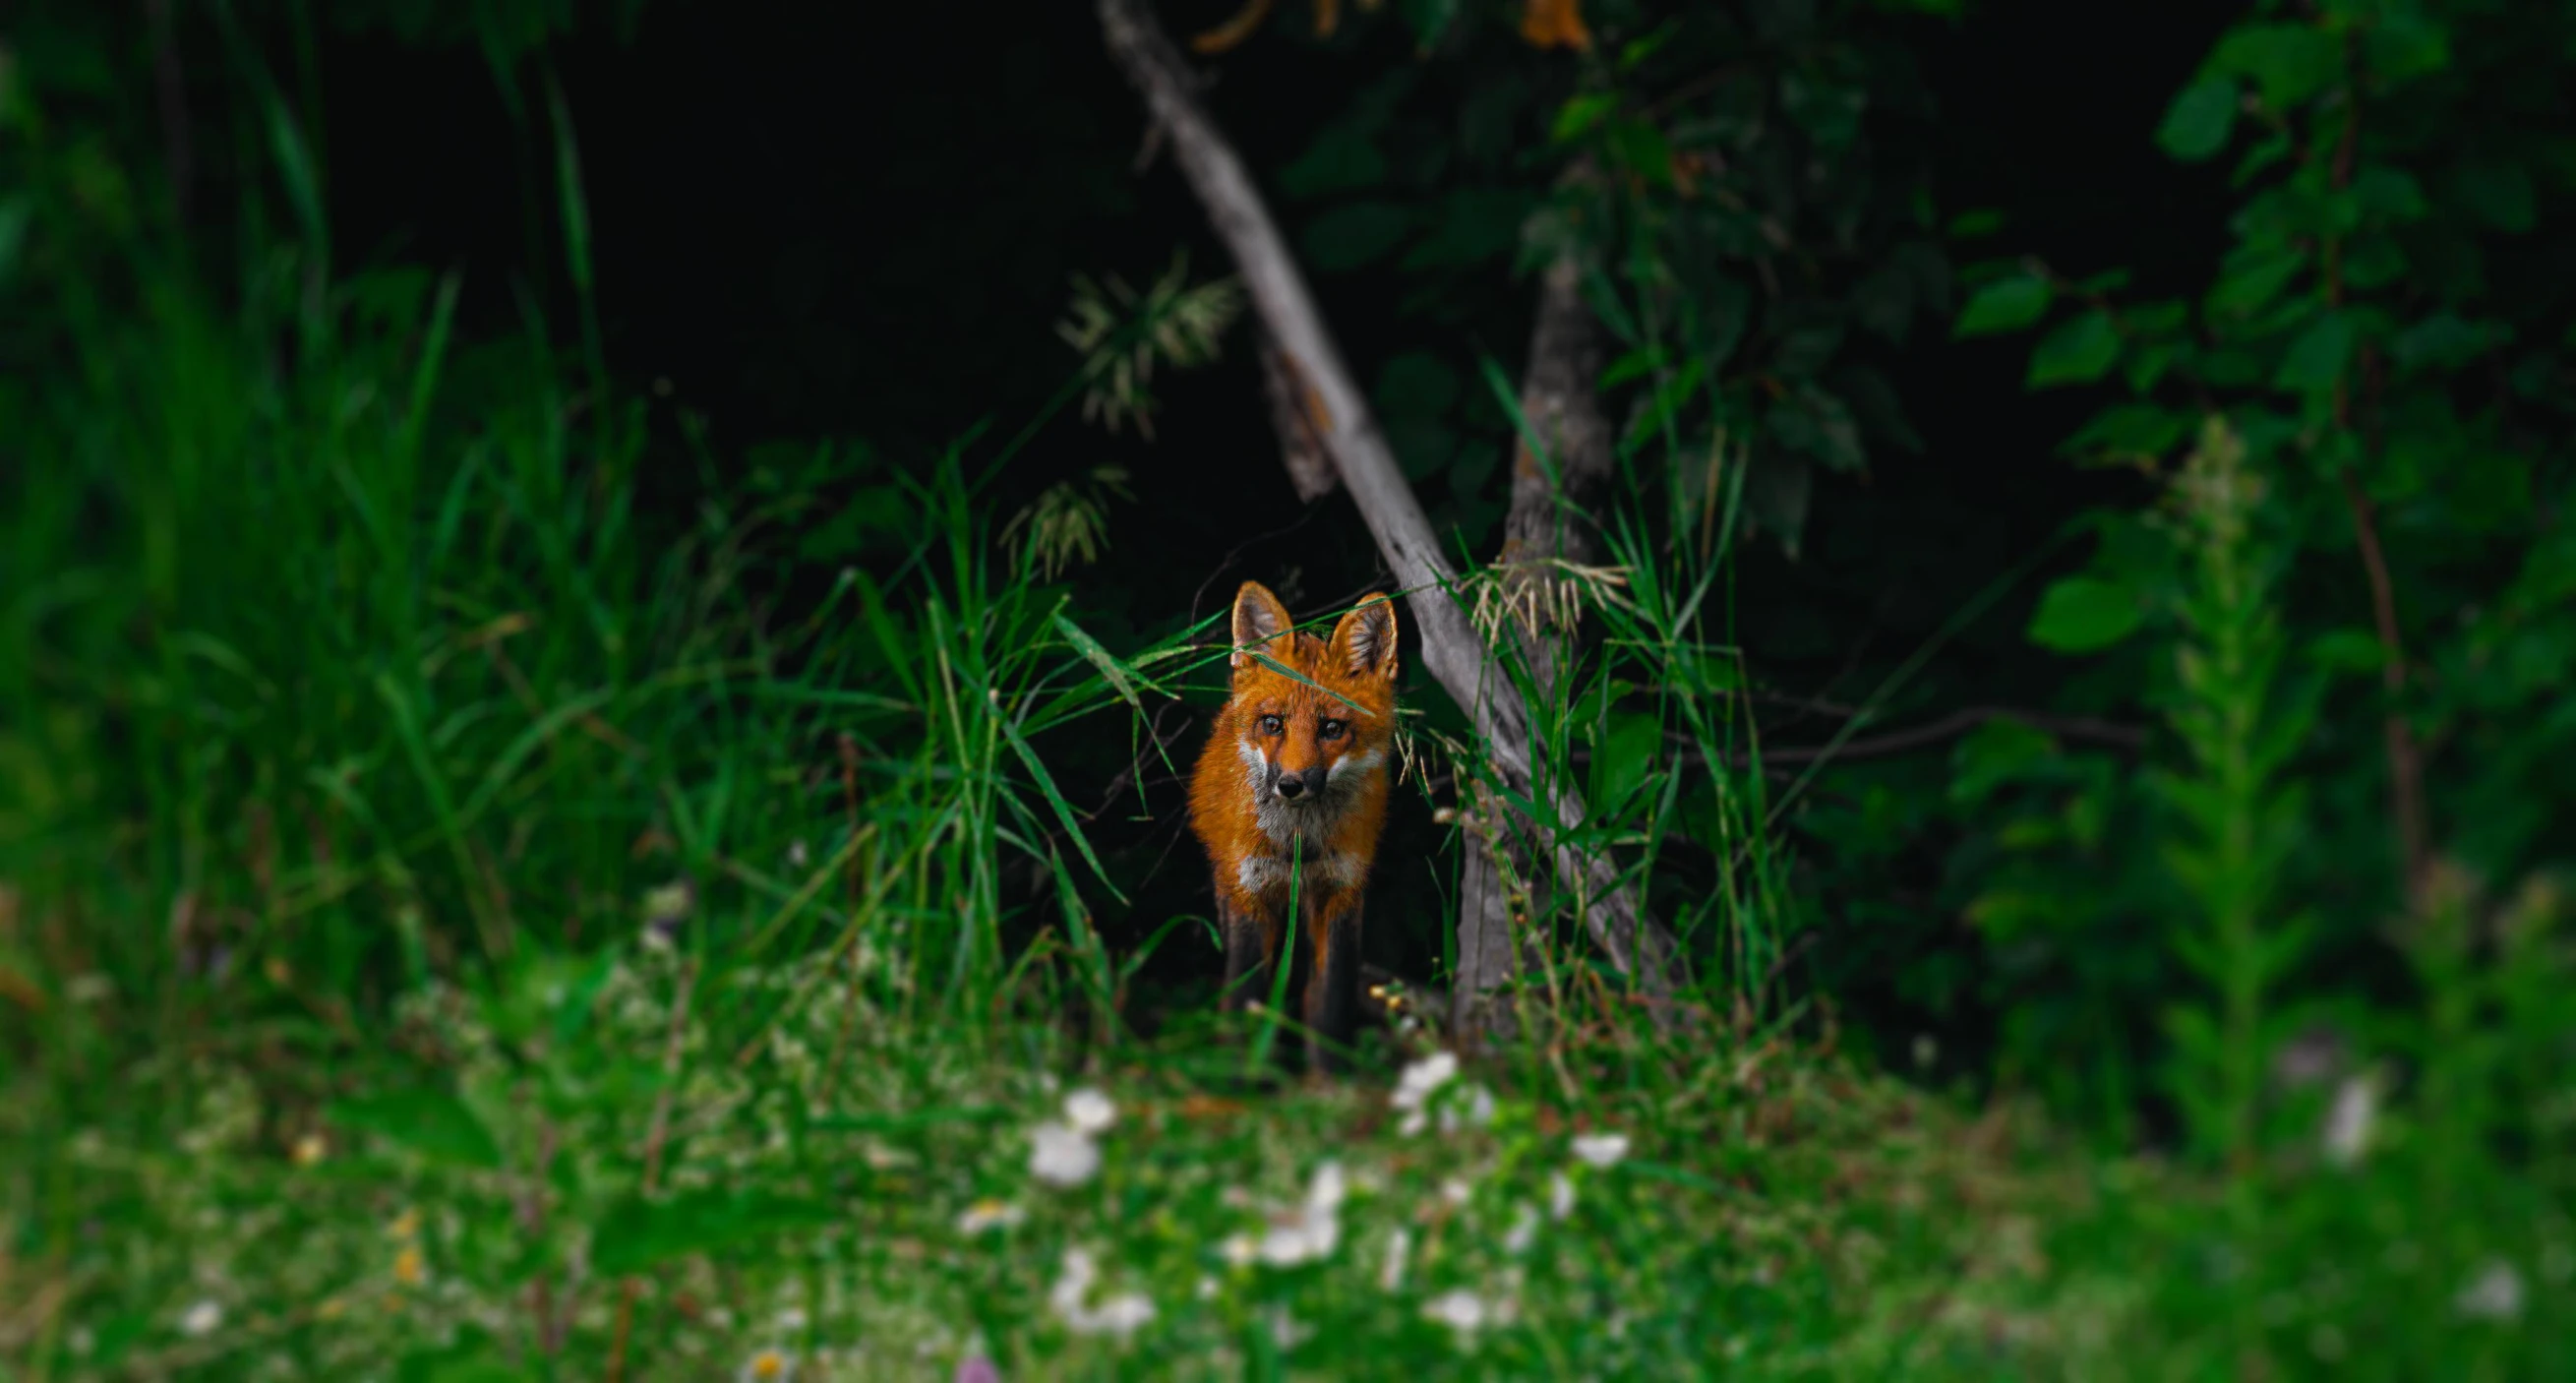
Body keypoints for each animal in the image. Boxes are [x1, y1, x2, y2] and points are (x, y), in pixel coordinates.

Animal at [1189, 576, 1401, 1071]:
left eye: (1332, 729)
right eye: (1273, 724)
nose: (1291, 784)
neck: (1299, 845)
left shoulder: (1341, 894)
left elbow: (1328, 1002)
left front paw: (1327, 1077)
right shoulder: (1249, 893)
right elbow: (1246, 995)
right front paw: (1237, 1071)